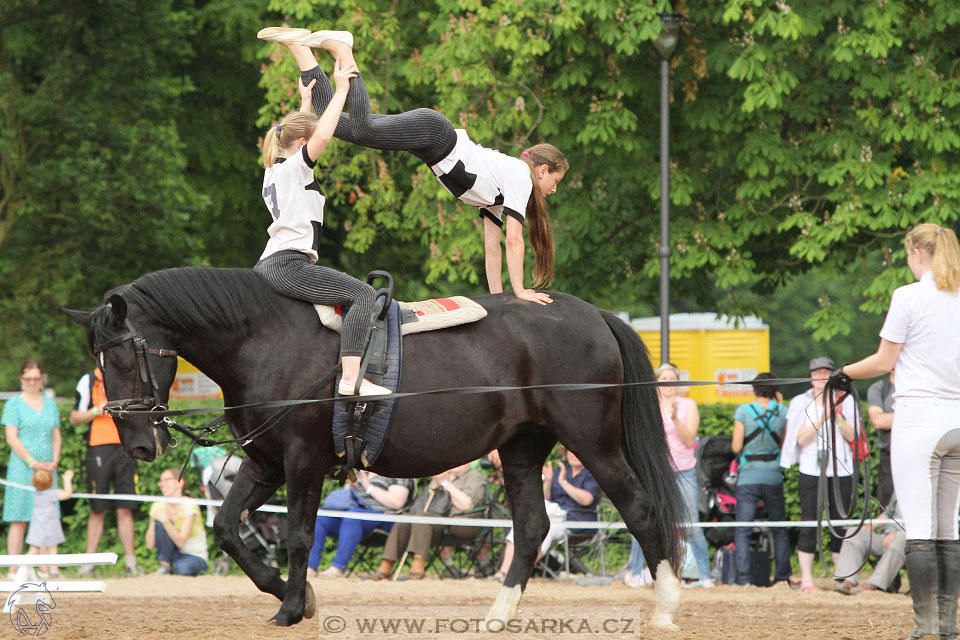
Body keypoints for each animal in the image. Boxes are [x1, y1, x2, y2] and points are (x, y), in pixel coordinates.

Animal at [60, 266, 688, 632]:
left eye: (123, 356)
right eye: (100, 362)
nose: (139, 444)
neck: (264, 339)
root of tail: (593, 314)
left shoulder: (303, 459)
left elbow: (298, 535)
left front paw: (292, 607)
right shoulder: (266, 461)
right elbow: (228, 528)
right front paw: (292, 595)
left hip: (593, 442)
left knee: (640, 510)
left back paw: (665, 609)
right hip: (522, 449)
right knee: (533, 527)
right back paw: (497, 615)